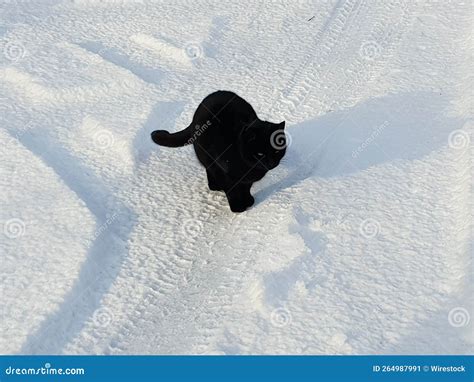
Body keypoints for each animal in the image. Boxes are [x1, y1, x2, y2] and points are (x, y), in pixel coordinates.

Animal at [151, 91, 286, 213]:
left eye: (276, 151)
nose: (272, 163)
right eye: (260, 154)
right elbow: (232, 190)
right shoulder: (224, 173)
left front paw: (248, 201)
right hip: (206, 156)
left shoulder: (247, 180)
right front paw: (238, 208)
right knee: (209, 168)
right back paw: (214, 186)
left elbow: (246, 187)